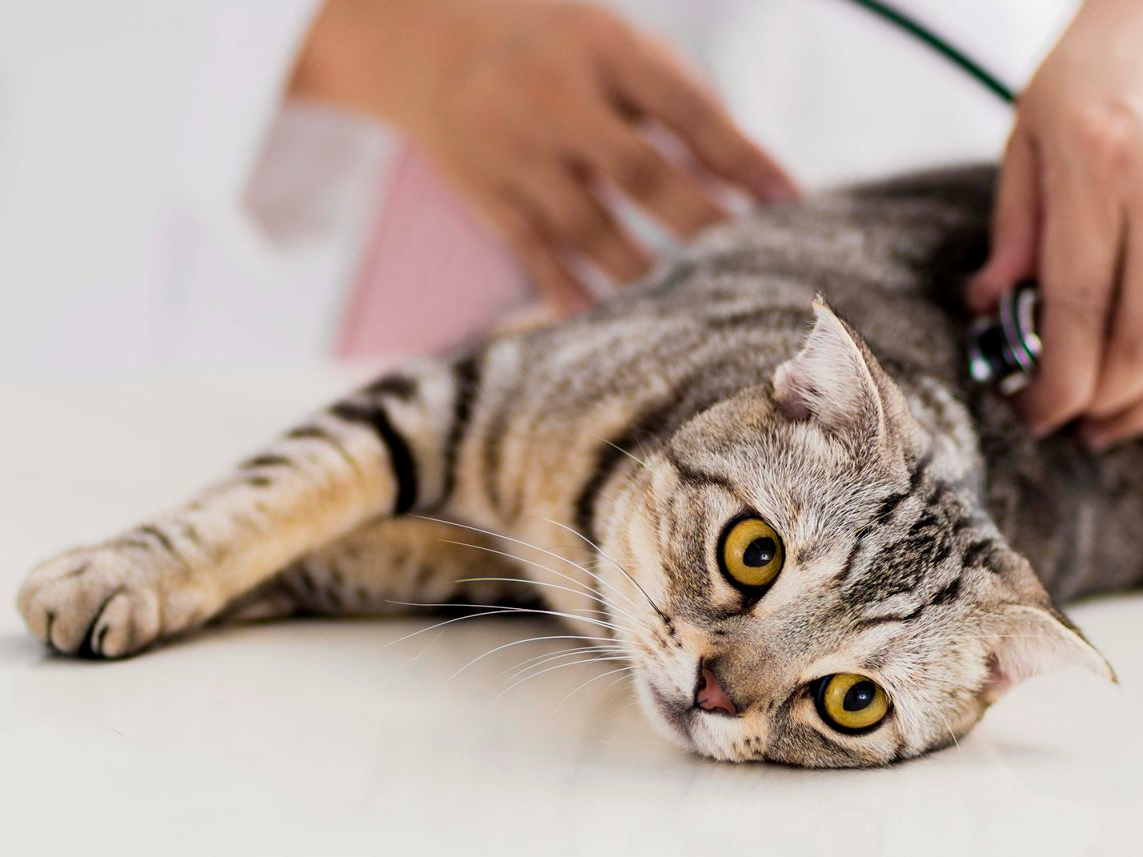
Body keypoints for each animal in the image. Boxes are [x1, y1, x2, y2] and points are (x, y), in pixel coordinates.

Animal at [15, 164, 1124, 767]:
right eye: (754, 551)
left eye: (853, 701)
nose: (713, 692)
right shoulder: (455, 388)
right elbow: (275, 491)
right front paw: (124, 570)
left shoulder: (463, 555)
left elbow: (334, 553)